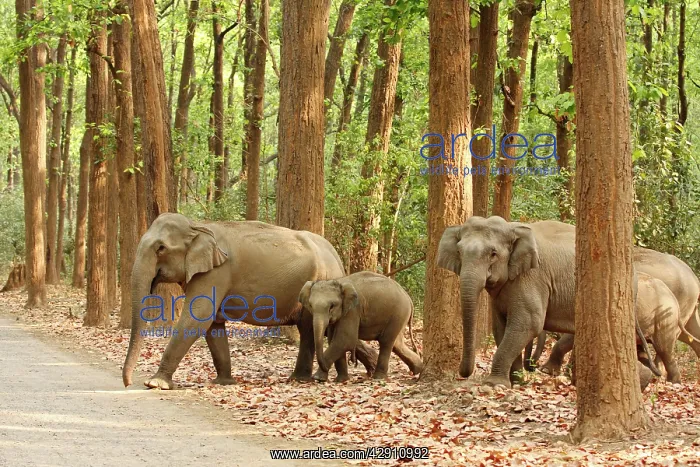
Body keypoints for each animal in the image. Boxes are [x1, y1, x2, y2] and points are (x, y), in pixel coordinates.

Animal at [121, 213, 378, 389]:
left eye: (161, 248)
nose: (127, 382)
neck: (198, 226)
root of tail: (336, 257)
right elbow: (212, 325)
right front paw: (223, 382)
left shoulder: (216, 273)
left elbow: (197, 319)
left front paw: (155, 383)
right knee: (314, 330)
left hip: (319, 282)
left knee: (311, 329)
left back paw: (304, 378)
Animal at [437, 215, 657, 388]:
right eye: (459, 252)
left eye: (493, 254)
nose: (463, 374)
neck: (513, 227)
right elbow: (501, 326)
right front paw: (516, 382)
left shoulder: (533, 277)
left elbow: (529, 323)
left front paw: (494, 385)